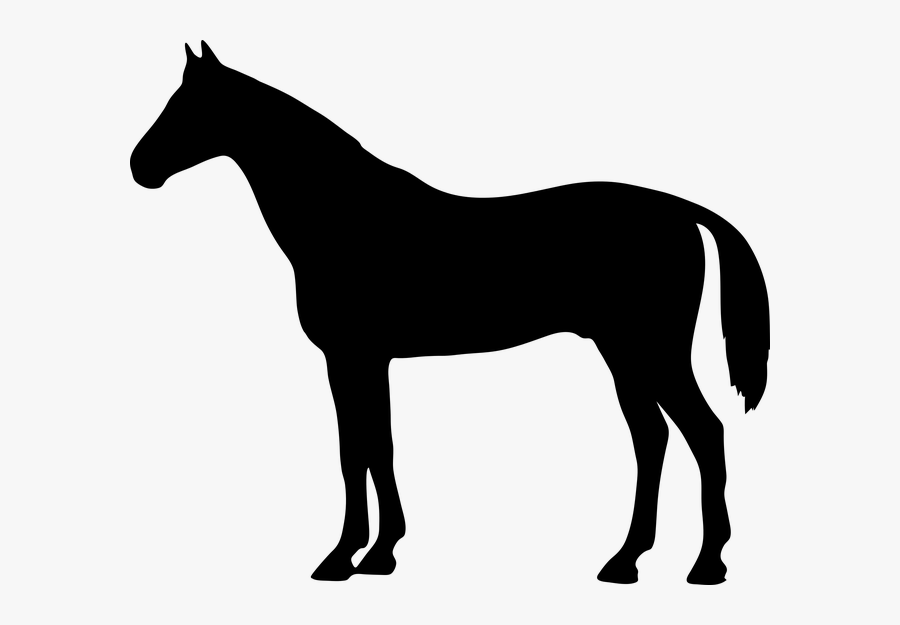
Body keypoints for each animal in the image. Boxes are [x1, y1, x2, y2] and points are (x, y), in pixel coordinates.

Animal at [131, 42, 769, 584]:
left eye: (188, 108)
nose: (140, 166)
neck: (346, 216)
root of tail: (678, 210)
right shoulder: (370, 361)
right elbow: (375, 446)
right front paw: (379, 554)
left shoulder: (350, 357)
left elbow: (356, 451)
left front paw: (344, 558)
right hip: (623, 353)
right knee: (652, 438)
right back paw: (625, 561)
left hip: (651, 351)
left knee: (702, 433)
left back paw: (706, 565)